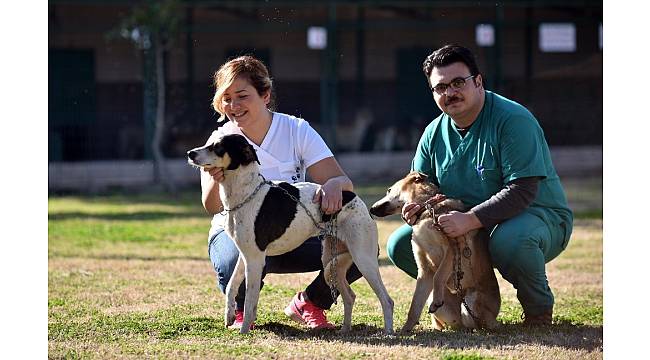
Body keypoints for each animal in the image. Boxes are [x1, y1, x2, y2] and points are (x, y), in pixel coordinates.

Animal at [185, 134, 392, 334]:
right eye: (209, 142)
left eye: (218, 147)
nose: (190, 153)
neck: (246, 193)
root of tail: (356, 198)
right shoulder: (244, 256)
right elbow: (231, 286)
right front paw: (229, 316)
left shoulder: (255, 260)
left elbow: (251, 299)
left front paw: (244, 331)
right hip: (331, 264)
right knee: (349, 296)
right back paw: (345, 329)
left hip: (363, 259)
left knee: (386, 300)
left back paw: (388, 332)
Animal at [368, 172, 498, 332]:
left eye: (389, 190)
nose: (371, 209)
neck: (428, 208)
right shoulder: (424, 270)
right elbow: (414, 307)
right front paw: (405, 330)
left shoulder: (453, 248)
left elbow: (439, 276)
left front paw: (437, 300)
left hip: (471, 304)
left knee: (479, 323)